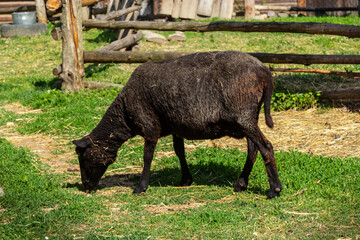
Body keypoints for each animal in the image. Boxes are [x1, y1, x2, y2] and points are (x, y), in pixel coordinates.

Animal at [72, 51, 282, 199]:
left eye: (83, 157)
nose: (86, 186)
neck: (124, 115)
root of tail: (264, 70)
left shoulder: (150, 126)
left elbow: (147, 156)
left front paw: (141, 187)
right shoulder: (176, 126)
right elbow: (179, 151)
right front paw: (186, 180)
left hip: (243, 115)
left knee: (266, 147)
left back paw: (274, 189)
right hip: (248, 117)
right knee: (253, 150)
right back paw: (241, 184)